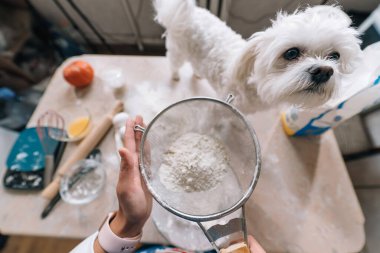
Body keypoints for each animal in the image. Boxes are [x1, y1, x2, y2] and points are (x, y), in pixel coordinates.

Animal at [153, 0, 360, 107]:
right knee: (174, 64)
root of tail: (191, 12)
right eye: (291, 53)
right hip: (177, 50)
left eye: (334, 56)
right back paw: (176, 75)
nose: (324, 71)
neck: (254, 85)